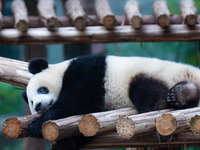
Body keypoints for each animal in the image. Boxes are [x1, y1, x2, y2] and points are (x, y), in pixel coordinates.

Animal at [22, 55, 200, 150]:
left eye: (41, 90)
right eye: (31, 102)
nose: (38, 105)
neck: (62, 70)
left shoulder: (85, 72)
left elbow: (74, 102)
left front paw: (36, 126)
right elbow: (79, 132)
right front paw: (63, 144)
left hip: (153, 73)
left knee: (146, 91)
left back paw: (165, 101)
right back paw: (183, 94)